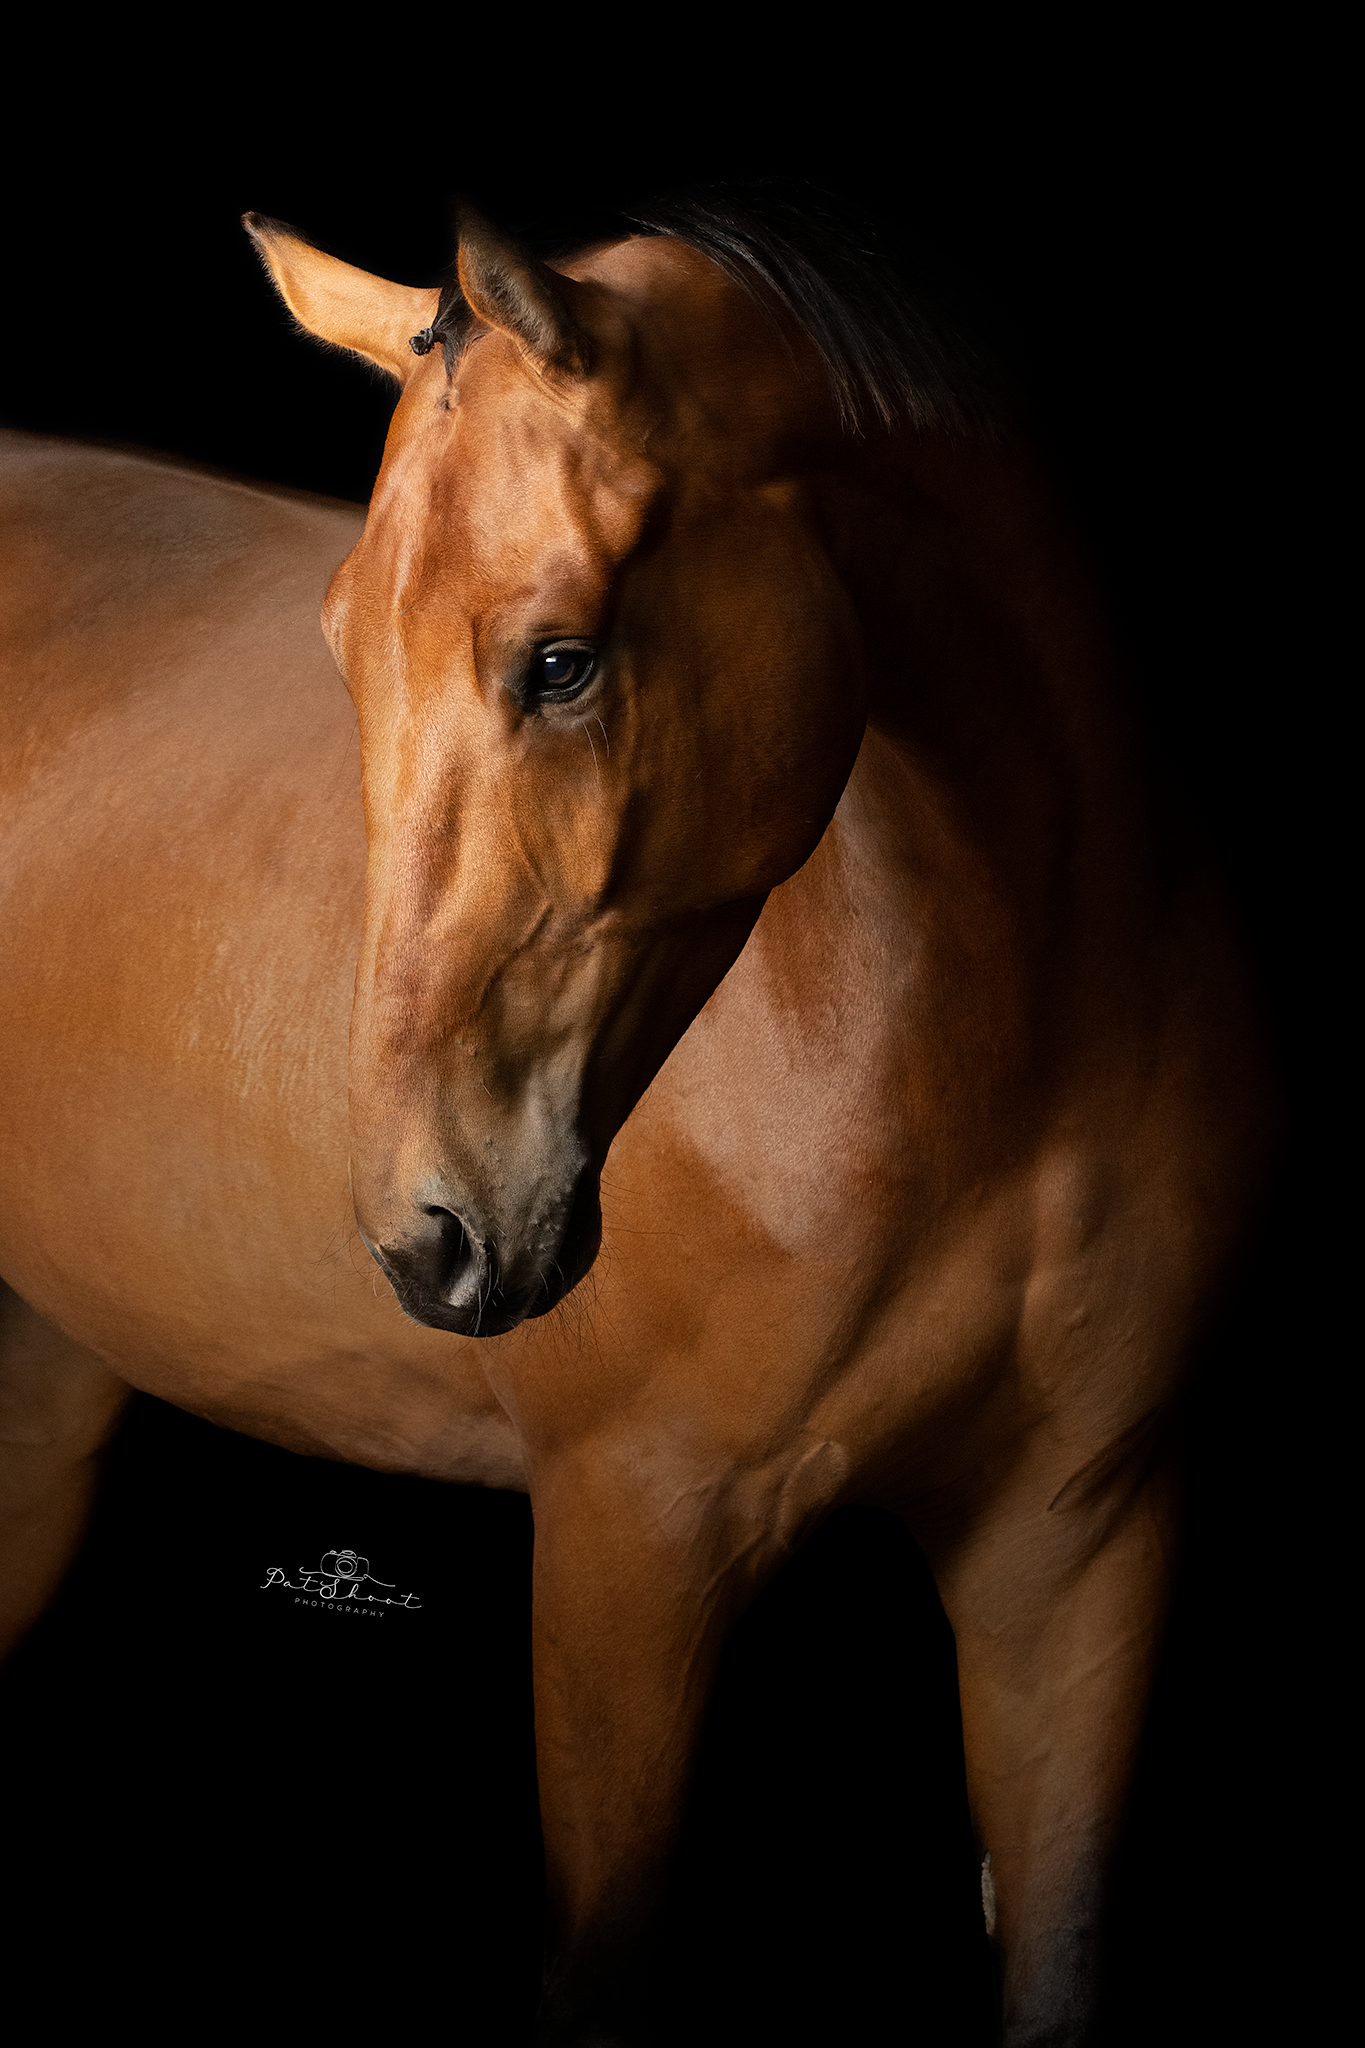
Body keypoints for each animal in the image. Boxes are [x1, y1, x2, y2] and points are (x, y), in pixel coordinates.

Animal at [0, 188, 1274, 2044]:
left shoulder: (1081, 1548)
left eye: (563, 660)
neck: (1000, 1032)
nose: (430, 1229)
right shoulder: (632, 1549)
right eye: (344, 651)